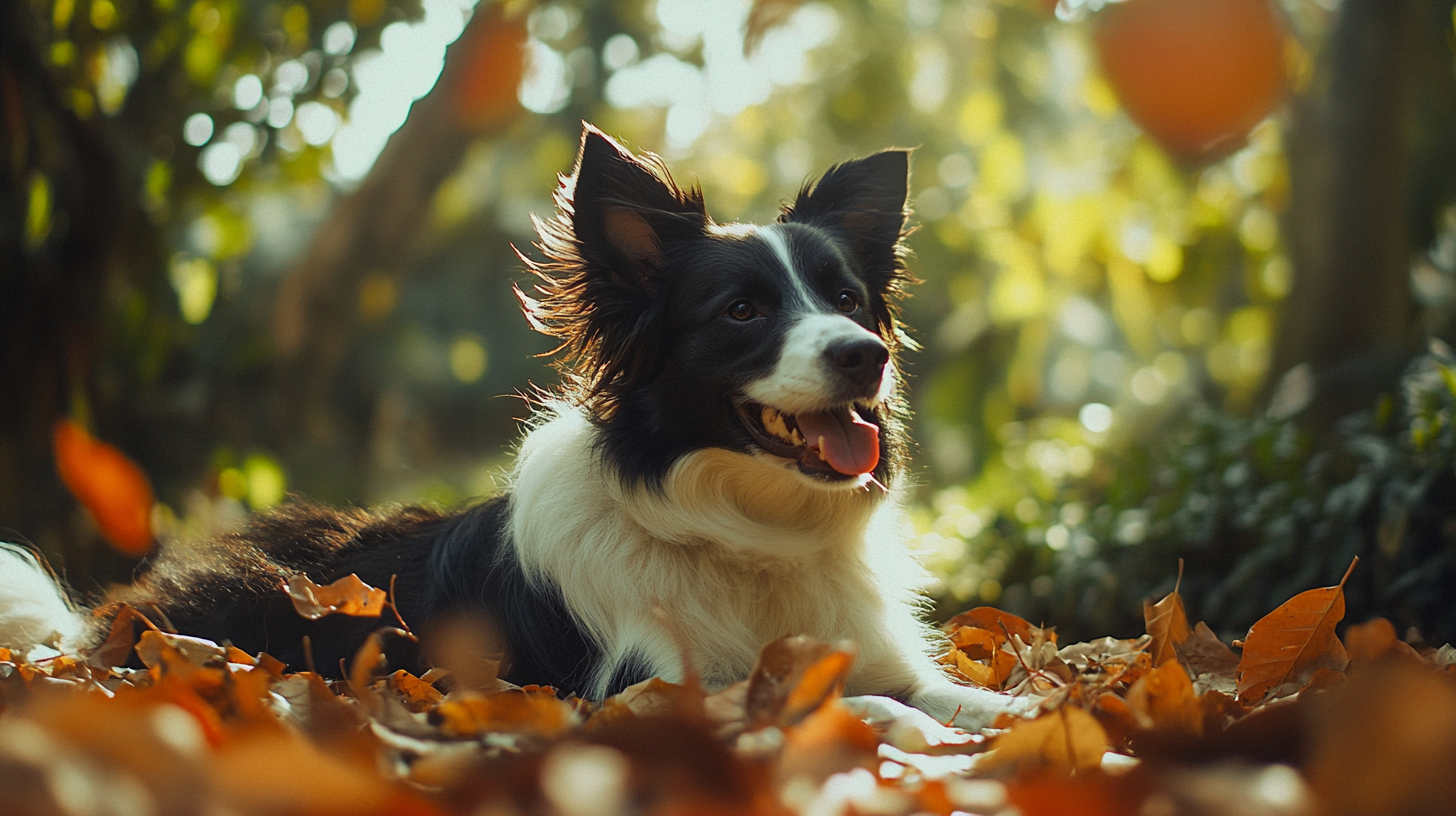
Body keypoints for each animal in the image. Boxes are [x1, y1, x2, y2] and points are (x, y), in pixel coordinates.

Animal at [0, 126, 1019, 725]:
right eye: (741, 312)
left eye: (846, 300)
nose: (865, 355)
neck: (747, 530)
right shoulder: (644, 692)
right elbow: (865, 710)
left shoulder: (876, 653)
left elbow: (945, 695)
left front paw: (1012, 720)